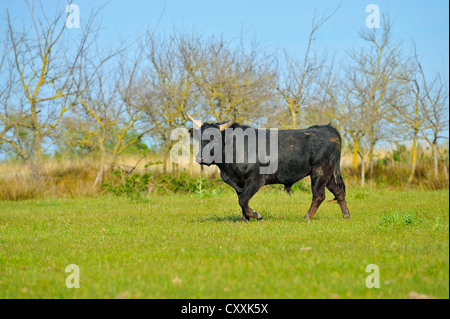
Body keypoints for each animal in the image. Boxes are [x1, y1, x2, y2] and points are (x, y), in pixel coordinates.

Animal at [186, 115, 352, 222]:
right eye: (200, 139)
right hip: (329, 174)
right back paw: (346, 215)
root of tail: (327, 129)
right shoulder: (238, 182)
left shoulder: (256, 180)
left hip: (320, 172)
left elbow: (243, 200)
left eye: (215, 139)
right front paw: (245, 219)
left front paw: (255, 215)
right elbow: (241, 200)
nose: (201, 158)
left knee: (319, 195)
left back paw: (307, 217)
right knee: (338, 191)